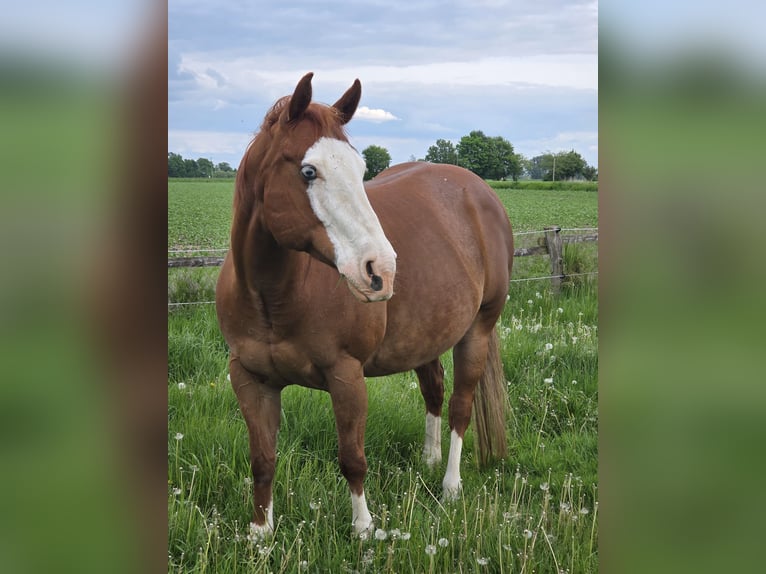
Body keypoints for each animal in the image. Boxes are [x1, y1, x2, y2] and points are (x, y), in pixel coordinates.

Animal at [215, 73, 514, 539]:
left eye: (360, 171)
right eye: (308, 170)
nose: (382, 270)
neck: (274, 297)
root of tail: (481, 192)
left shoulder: (347, 377)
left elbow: (352, 459)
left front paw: (363, 530)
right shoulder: (249, 379)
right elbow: (262, 460)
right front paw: (260, 534)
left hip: (477, 332)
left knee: (460, 407)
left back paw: (450, 485)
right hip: (425, 337)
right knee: (434, 389)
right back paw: (428, 459)